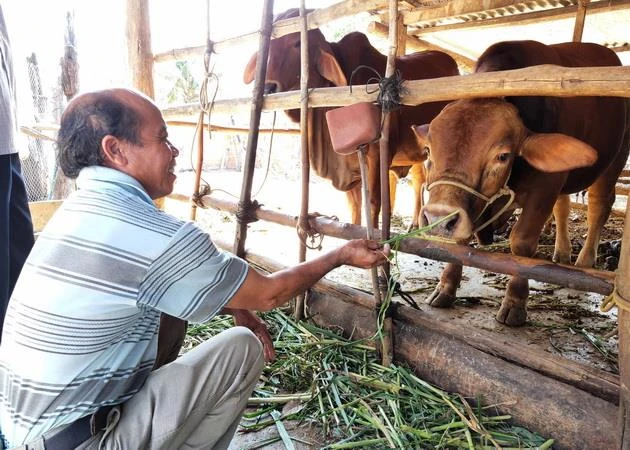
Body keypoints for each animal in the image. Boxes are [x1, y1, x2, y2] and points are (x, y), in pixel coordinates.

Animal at [243, 9, 460, 229]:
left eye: (297, 43)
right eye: (268, 46)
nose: (268, 87)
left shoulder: (378, 154)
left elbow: (373, 203)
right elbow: (355, 207)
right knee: (419, 178)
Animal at [412, 40, 628, 326]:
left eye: (503, 156)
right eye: (427, 152)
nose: (438, 217)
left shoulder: (544, 188)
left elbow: (522, 242)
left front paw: (515, 302)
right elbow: (460, 241)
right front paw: (446, 287)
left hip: (614, 160)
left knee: (599, 206)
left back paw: (583, 262)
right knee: (563, 207)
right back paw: (562, 253)